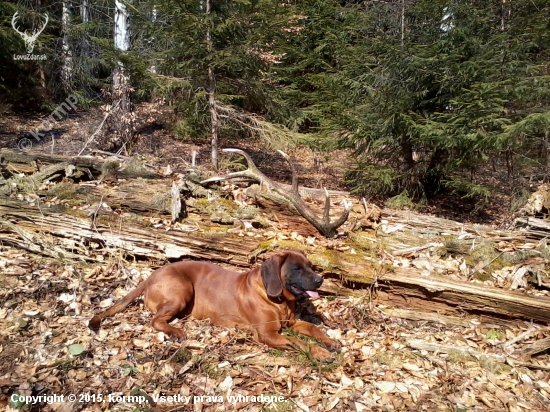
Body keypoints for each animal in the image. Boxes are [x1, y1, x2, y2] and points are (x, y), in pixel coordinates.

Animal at [90, 249, 340, 358]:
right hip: (181, 290)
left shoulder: (292, 323)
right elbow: (299, 342)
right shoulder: (268, 334)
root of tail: (150, 277)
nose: (320, 280)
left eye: (310, 266)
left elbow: (313, 328)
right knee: (155, 320)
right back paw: (176, 332)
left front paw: (330, 342)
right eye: (296, 268)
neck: (279, 301)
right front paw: (320, 352)